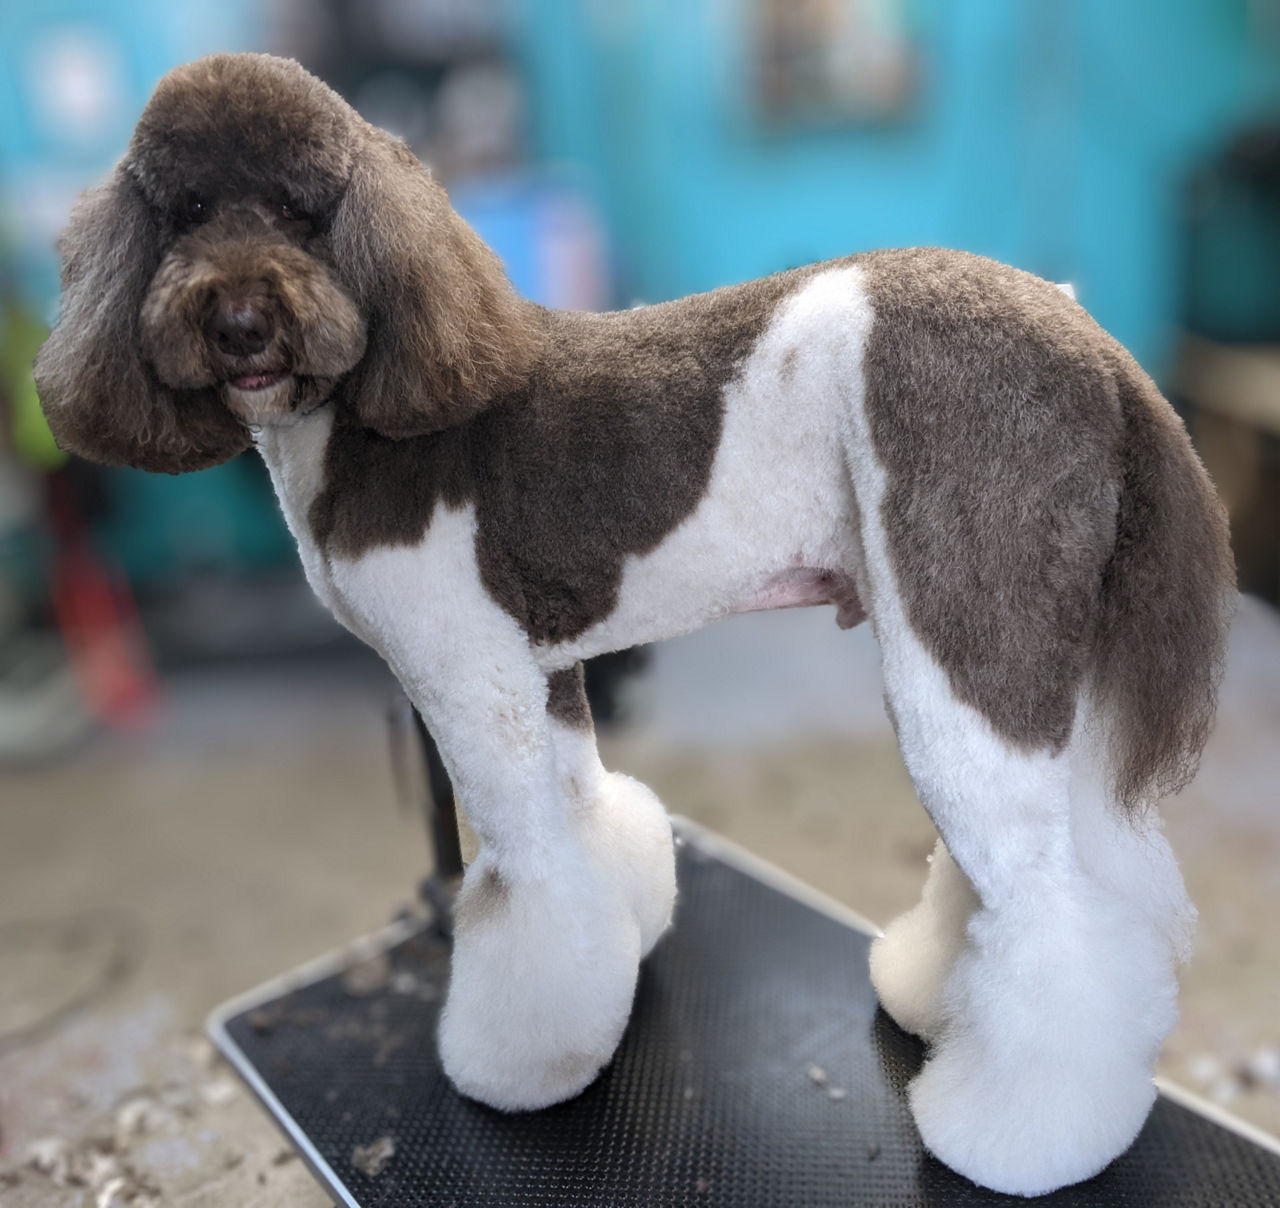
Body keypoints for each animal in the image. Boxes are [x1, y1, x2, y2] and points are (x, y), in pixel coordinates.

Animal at [37, 51, 1239, 1192]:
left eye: (303, 207)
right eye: (186, 210)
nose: (240, 321)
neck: (376, 397)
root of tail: (1097, 349)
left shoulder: (466, 679)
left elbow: (524, 879)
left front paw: (524, 1061)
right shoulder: (540, 669)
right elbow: (582, 814)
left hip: (964, 635)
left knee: (1046, 913)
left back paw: (1021, 1136)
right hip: (1034, 657)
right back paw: (940, 998)